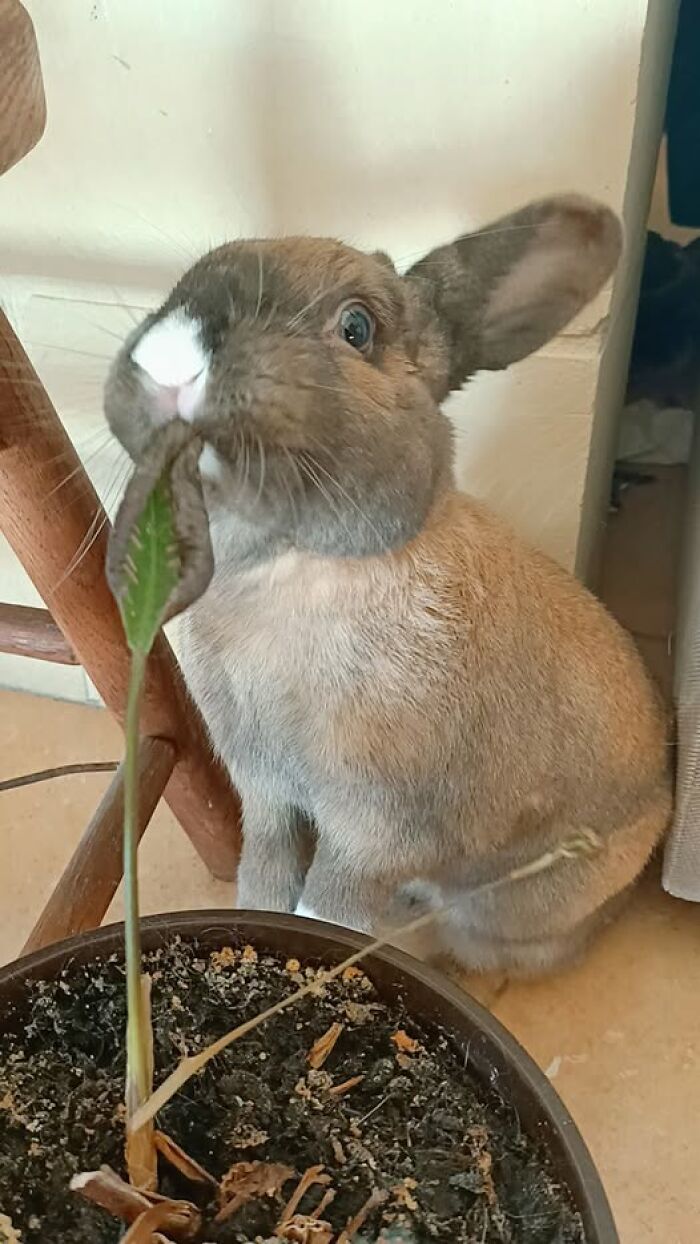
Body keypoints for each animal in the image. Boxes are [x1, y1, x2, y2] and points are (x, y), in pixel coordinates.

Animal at [105, 194, 672, 975]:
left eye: (357, 328)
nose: (171, 357)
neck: (290, 571)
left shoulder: (376, 831)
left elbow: (328, 907)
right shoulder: (267, 796)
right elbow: (263, 880)